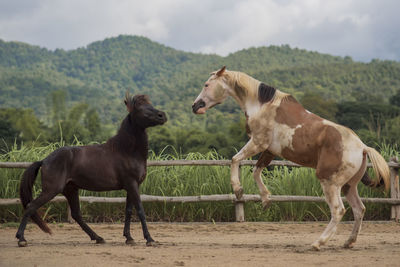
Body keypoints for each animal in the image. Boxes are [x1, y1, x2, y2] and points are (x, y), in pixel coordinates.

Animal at [16, 93, 167, 248]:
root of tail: (45, 160)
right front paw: (149, 239)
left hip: (70, 190)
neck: (126, 151)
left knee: (76, 215)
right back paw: (21, 239)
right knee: (31, 206)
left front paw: (129, 238)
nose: (162, 115)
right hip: (51, 190)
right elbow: (140, 211)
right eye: (140, 108)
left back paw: (98, 237)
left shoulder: (132, 186)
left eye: (150, 104)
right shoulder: (132, 184)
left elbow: (129, 211)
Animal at [192, 67, 390, 251]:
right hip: (349, 186)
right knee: (359, 209)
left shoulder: (258, 143)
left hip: (330, 182)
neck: (262, 105)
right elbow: (256, 171)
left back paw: (318, 243)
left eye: (206, 84)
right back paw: (349, 242)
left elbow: (235, 159)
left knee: (338, 210)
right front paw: (265, 200)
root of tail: (362, 147)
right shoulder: (269, 151)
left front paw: (238, 190)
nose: (195, 106)